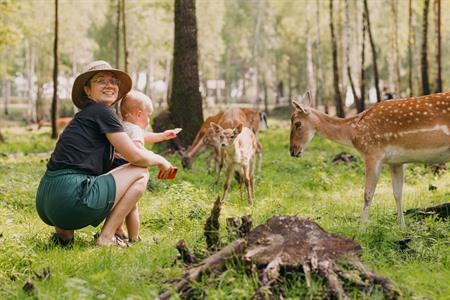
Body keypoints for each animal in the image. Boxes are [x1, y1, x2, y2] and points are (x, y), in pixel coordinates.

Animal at [290, 90, 448, 226]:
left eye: (297, 123)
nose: (293, 151)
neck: (353, 132)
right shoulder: (396, 161)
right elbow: (397, 193)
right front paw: (402, 228)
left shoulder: (372, 153)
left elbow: (368, 194)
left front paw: (362, 229)